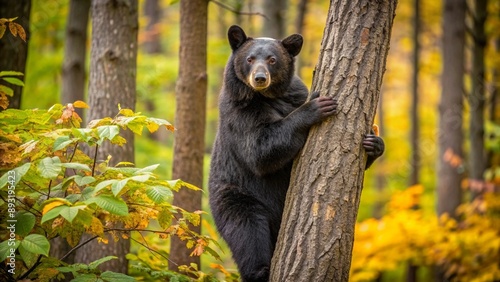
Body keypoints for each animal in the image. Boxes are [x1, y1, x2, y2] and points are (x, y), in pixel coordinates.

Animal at [209, 25, 384, 280]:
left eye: (272, 59)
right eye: (250, 59)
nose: (259, 78)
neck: (269, 97)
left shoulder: (292, 95)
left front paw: (374, 142)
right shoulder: (239, 111)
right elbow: (260, 149)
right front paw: (316, 106)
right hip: (235, 197)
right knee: (247, 233)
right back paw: (260, 271)